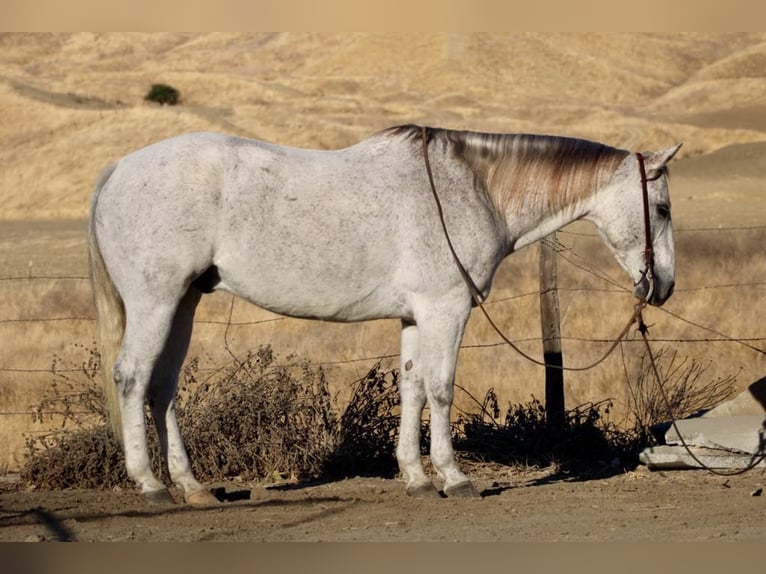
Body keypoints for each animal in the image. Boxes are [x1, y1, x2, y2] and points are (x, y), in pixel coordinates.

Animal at [88, 125, 681, 504]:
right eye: (662, 208)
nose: (665, 286)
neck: (474, 189)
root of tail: (118, 169)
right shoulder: (446, 309)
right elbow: (440, 388)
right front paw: (454, 478)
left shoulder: (417, 316)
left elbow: (412, 388)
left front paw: (416, 477)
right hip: (155, 302)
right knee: (132, 378)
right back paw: (151, 486)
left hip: (183, 302)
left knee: (162, 388)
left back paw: (192, 488)